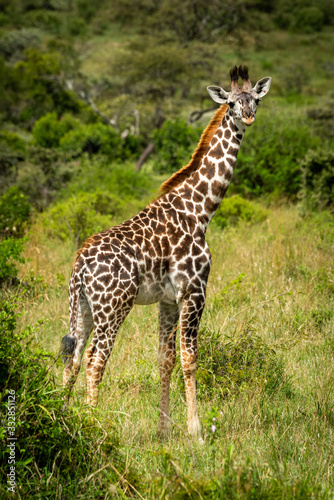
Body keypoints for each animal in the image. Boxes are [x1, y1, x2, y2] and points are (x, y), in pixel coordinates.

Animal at [61, 66, 270, 438]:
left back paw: (61, 419)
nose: (247, 116)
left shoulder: (168, 299)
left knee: (72, 357)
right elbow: (190, 358)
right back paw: (93, 426)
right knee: (95, 359)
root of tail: (80, 265)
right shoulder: (195, 290)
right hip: (113, 307)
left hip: (80, 307)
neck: (200, 209)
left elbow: (165, 359)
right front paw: (196, 431)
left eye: (255, 99)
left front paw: (164, 430)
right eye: (231, 102)